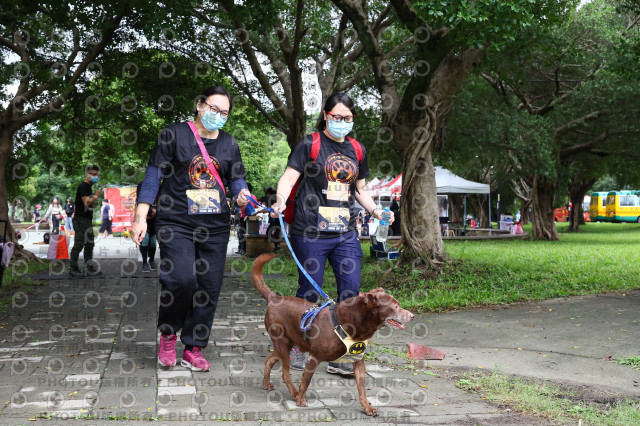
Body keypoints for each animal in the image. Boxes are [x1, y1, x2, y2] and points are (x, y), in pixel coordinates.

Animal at [250, 253, 416, 416]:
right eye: (395, 306)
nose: (412, 316)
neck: (352, 323)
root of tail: (275, 297)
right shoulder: (313, 358)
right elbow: (305, 381)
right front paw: (301, 399)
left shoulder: (359, 361)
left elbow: (362, 389)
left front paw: (367, 408)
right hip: (282, 342)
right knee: (285, 373)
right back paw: (294, 394)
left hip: (286, 343)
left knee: (269, 360)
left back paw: (267, 384)